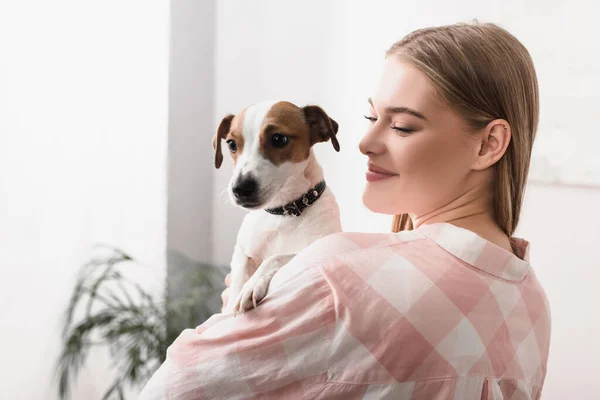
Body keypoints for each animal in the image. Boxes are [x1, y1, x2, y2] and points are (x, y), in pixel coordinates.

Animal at [212, 100, 342, 312]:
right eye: (231, 144)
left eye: (279, 139)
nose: (240, 188)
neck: (283, 213)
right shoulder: (241, 251)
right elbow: (239, 275)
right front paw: (233, 301)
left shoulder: (316, 248)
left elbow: (275, 258)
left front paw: (252, 285)